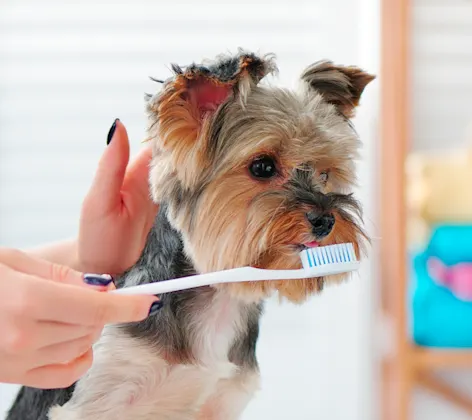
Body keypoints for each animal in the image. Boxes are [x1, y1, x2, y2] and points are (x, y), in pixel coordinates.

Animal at [7, 50, 374, 420]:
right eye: (263, 167)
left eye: (325, 174)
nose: (325, 221)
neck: (220, 301)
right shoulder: (99, 393)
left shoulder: (221, 401)